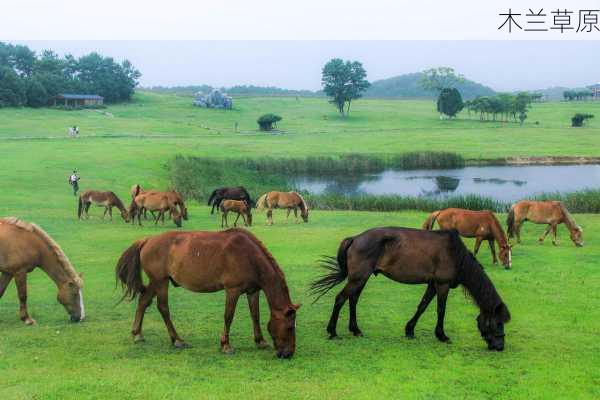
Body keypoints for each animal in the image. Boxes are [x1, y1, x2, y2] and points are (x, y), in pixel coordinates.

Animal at [115, 228, 300, 360]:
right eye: (290, 327)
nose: (288, 354)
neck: (249, 256)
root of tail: (148, 240)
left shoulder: (253, 291)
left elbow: (255, 315)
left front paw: (260, 341)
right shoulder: (232, 290)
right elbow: (228, 316)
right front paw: (225, 345)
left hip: (157, 282)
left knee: (143, 301)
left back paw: (137, 334)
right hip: (160, 282)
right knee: (163, 308)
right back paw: (177, 339)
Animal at [310, 227, 510, 352]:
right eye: (498, 323)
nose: (500, 347)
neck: (455, 254)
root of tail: (354, 239)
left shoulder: (433, 284)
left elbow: (422, 306)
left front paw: (410, 330)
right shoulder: (442, 285)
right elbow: (441, 310)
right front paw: (442, 335)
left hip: (361, 278)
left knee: (353, 299)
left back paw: (355, 329)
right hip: (358, 278)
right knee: (340, 299)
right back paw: (333, 331)